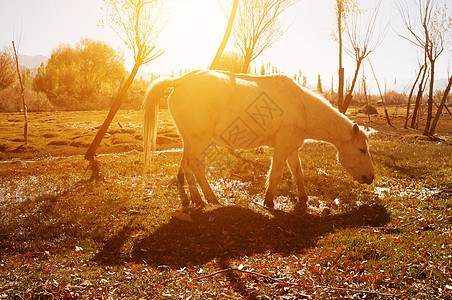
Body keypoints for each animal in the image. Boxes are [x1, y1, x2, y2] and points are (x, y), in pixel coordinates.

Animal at [144, 70, 374, 211]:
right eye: (362, 149)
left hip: (189, 139)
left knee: (187, 164)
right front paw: (269, 201)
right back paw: (210, 198)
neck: (303, 108)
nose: (371, 177)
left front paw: (303, 198)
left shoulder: (292, 148)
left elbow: (297, 173)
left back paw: (197, 198)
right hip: (200, 140)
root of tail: (180, 81)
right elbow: (276, 174)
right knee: (196, 165)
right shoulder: (282, 147)